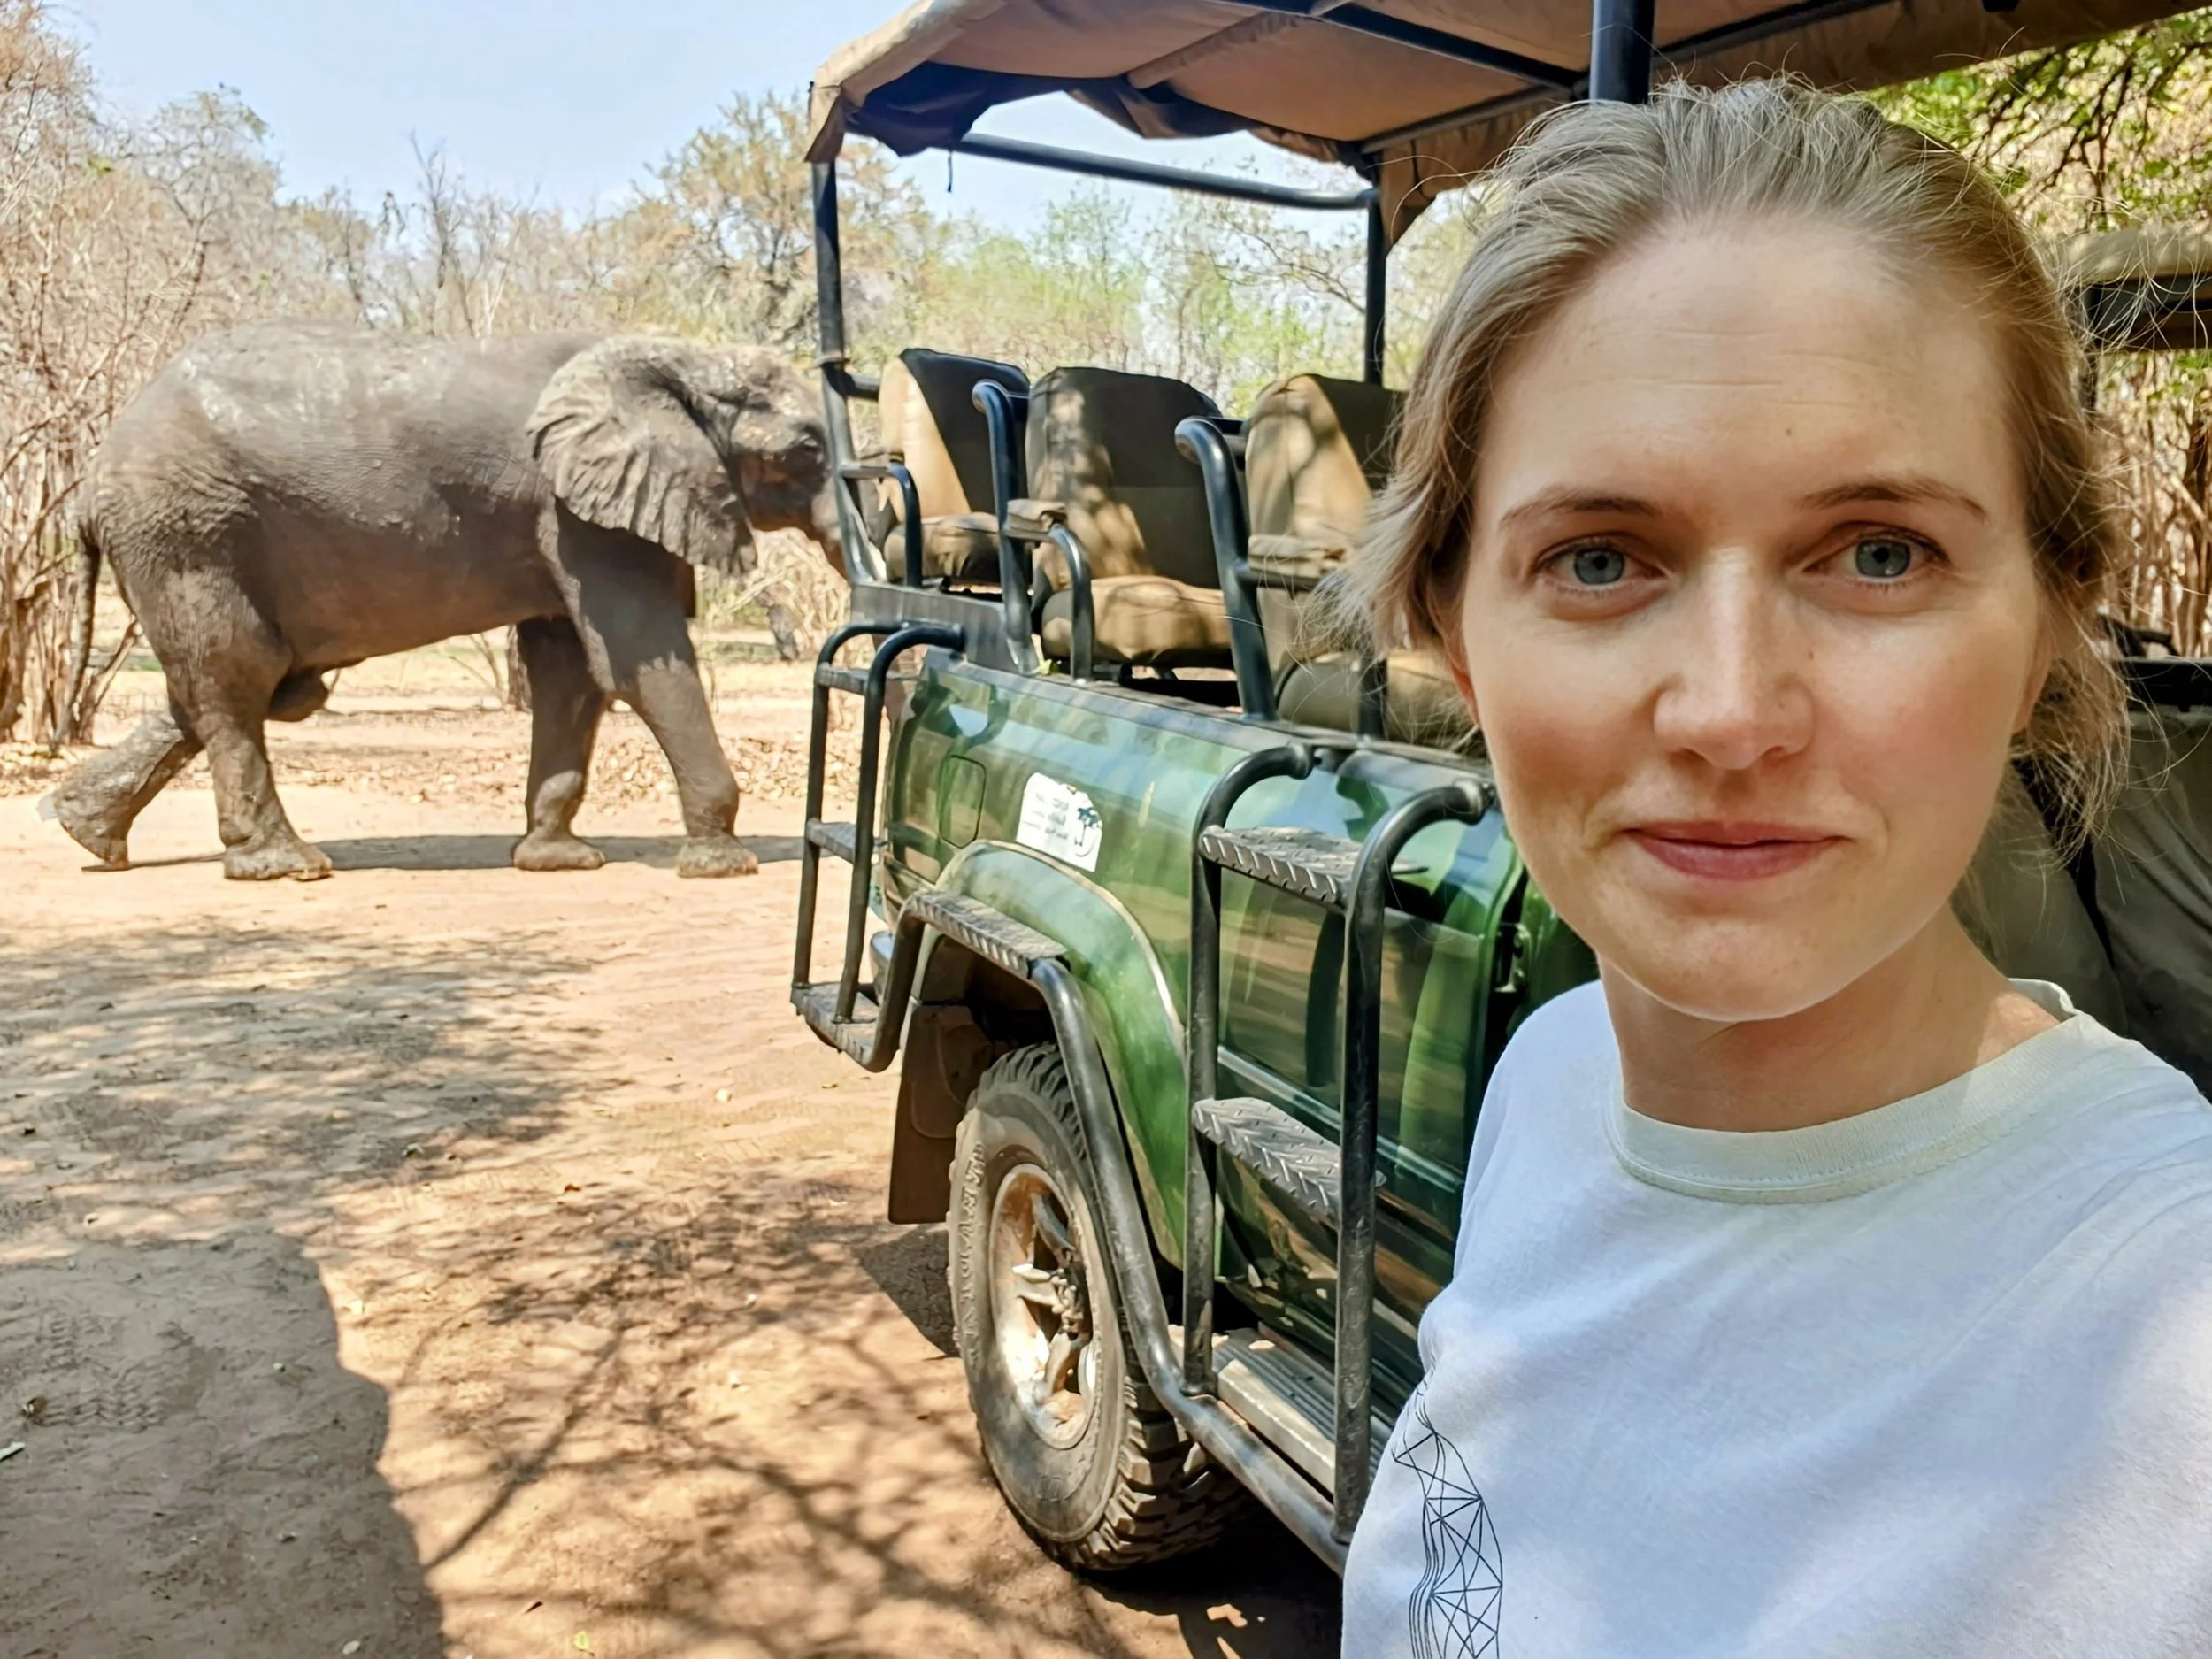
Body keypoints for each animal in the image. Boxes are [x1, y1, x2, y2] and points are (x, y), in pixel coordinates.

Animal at [47, 322, 843, 881]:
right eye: (807, 449)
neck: (678, 358)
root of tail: (88, 484)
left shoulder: (567, 519)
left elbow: (569, 672)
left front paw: (557, 860)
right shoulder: (582, 515)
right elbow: (638, 661)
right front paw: (722, 863)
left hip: (182, 539)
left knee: (229, 686)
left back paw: (82, 830)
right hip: (190, 530)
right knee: (238, 677)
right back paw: (286, 867)